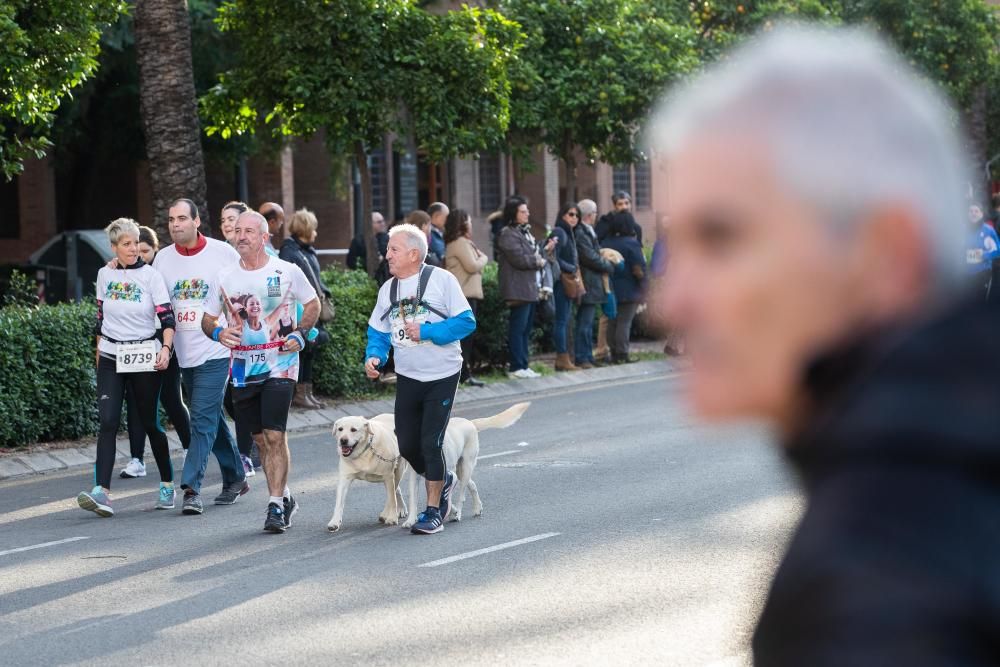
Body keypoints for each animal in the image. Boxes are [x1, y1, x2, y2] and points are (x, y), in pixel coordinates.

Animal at [400, 400, 532, 528]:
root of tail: (470, 422)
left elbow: (444, 495)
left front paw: (451, 511)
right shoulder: (415, 476)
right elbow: (413, 499)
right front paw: (410, 520)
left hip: (466, 466)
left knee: (462, 496)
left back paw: (458, 513)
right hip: (461, 471)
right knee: (472, 484)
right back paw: (477, 507)